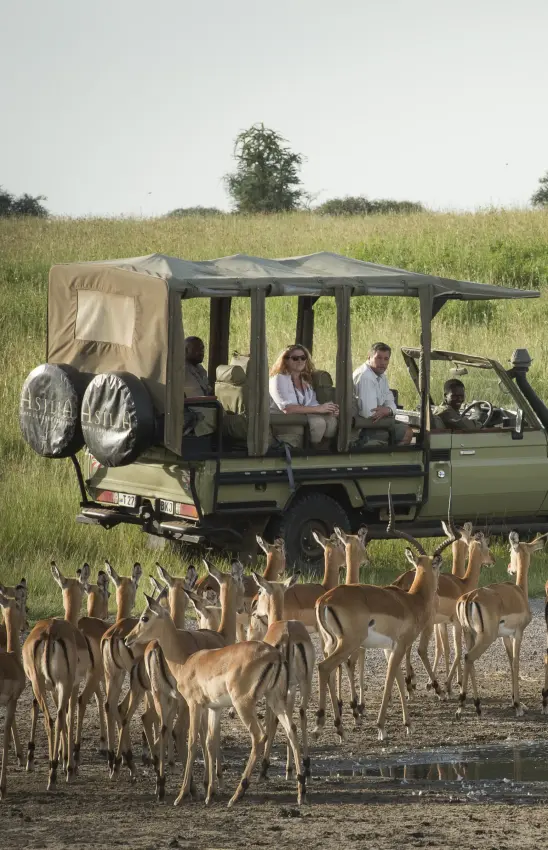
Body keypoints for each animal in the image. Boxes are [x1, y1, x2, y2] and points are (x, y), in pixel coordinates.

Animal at [125, 596, 306, 808]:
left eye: (144, 617)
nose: (128, 638)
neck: (185, 662)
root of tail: (276, 655)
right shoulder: (214, 708)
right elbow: (210, 741)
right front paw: (209, 793)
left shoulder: (194, 705)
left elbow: (192, 742)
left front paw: (181, 795)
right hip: (275, 699)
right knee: (291, 730)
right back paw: (301, 791)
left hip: (243, 704)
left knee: (259, 735)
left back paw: (237, 794)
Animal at [248, 573, 315, 782]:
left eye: (260, 590)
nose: (254, 611)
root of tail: (289, 634)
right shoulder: (291, 687)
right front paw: (289, 768)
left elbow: (272, 721)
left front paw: (267, 766)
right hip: (305, 682)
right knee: (301, 713)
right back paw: (306, 765)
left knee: (281, 720)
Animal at [314, 489, 456, 742]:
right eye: (438, 566)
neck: (412, 601)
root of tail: (324, 600)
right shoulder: (401, 645)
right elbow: (390, 680)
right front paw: (381, 727)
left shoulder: (390, 648)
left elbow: (398, 679)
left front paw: (408, 724)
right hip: (349, 643)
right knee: (324, 668)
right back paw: (323, 726)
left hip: (331, 642)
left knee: (330, 671)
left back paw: (339, 727)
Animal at [456, 531, 547, 718]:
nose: (510, 568)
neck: (520, 592)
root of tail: (469, 598)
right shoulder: (518, 633)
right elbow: (516, 663)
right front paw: (518, 706)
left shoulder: (504, 637)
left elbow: (510, 662)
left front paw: (515, 702)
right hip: (485, 638)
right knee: (469, 657)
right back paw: (467, 706)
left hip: (469, 635)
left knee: (468, 660)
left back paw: (471, 706)